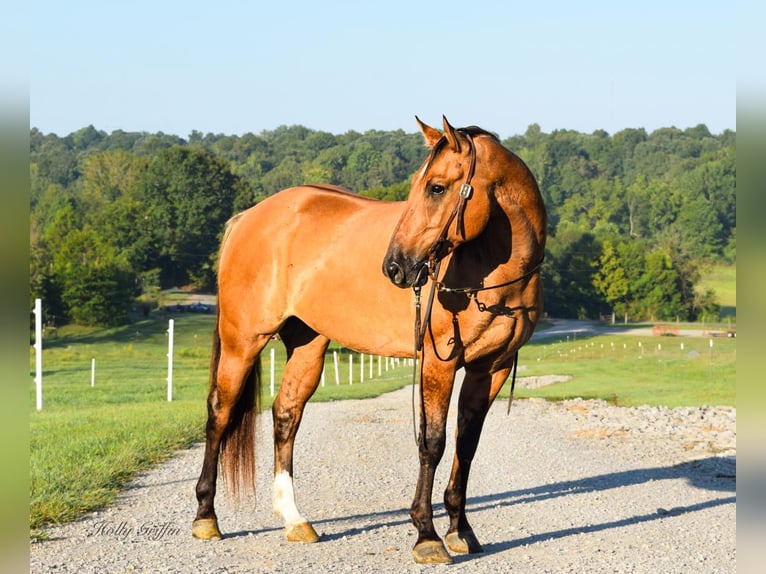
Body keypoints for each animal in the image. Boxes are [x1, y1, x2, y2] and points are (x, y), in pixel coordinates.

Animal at [195, 117, 548, 568]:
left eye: (436, 187)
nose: (395, 267)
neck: (491, 270)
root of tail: (248, 217)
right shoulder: (439, 363)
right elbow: (432, 443)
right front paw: (426, 535)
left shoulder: (490, 369)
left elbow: (466, 445)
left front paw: (461, 530)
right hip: (243, 340)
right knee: (220, 414)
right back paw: (206, 517)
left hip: (307, 344)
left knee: (286, 414)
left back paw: (294, 520)